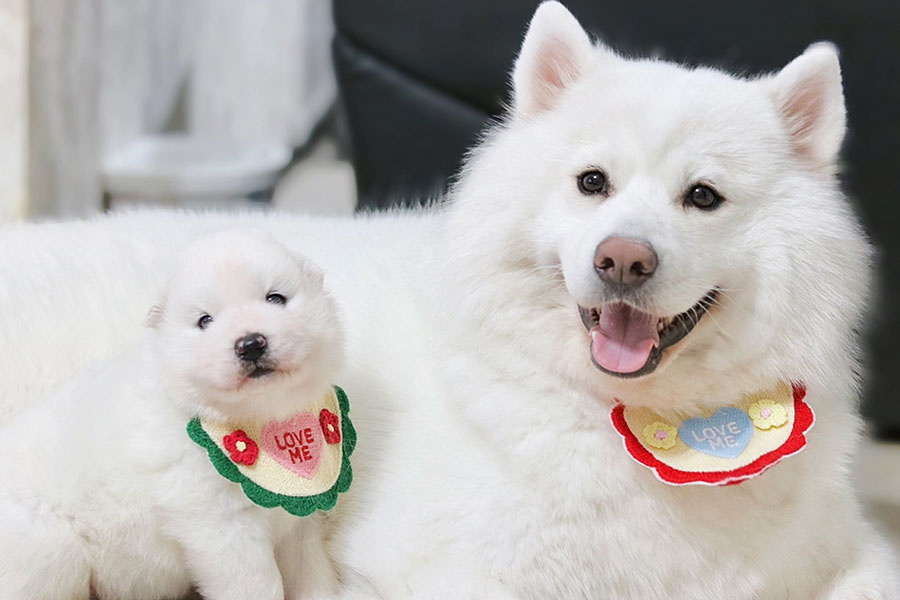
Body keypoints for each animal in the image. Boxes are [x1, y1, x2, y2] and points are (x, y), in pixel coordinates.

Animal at [0, 231, 342, 600]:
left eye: (276, 298)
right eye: (205, 320)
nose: (250, 343)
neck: (262, 419)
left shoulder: (299, 518)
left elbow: (310, 571)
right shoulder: (221, 526)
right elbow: (256, 584)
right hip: (50, 550)